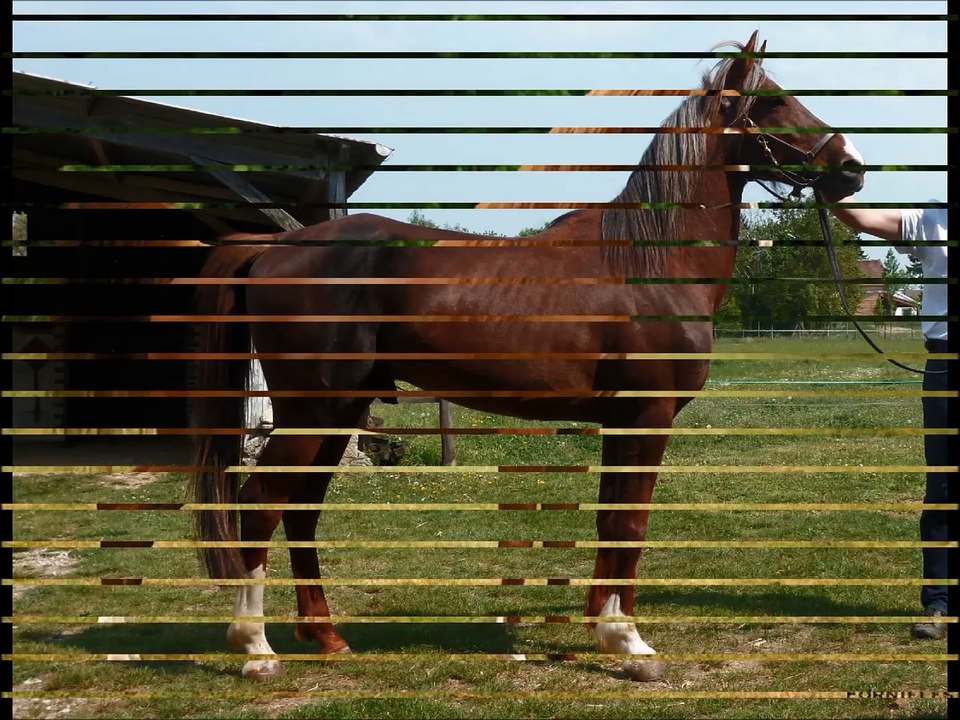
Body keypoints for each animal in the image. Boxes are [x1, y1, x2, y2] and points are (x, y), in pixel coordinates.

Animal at [189, 32, 865, 682]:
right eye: (772, 101)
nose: (850, 168)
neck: (649, 262)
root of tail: (275, 245)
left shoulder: (621, 420)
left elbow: (610, 521)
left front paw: (606, 629)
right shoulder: (647, 415)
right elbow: (630, 523)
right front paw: (632, 645)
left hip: (339, 411)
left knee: (300, 511)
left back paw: (327, 638)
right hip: (313, 409)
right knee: (261, 504)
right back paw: (256, 650)